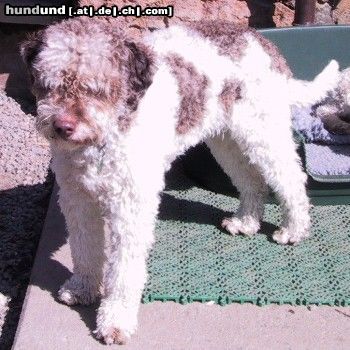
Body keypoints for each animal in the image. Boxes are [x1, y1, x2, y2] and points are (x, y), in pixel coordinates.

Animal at [21, 17, 340, 344]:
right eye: (48, 84)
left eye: (97, 89)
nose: (63, 126)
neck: (105, 136)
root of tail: (261, 40)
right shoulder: (77, 198)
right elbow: (84, 248)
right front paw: (82, 288)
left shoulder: (130, 206)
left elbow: (123, 271)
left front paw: (116, 321)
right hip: (226, 141)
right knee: (252, 181)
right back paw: (246, 222)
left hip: (264, 133)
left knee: (292, 179)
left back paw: (294, 229)